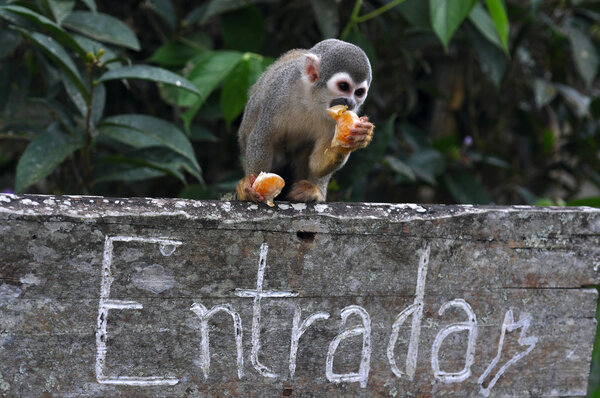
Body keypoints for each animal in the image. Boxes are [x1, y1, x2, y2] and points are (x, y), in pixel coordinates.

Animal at [236, 38, 372, 202]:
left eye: (359, 92)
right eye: (344, 86)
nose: (351, 103)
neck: (313, 100)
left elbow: (316, 163)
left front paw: (355, 139)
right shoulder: (277, 95)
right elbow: (263, 137)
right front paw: (252, 188)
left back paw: (315, 190)